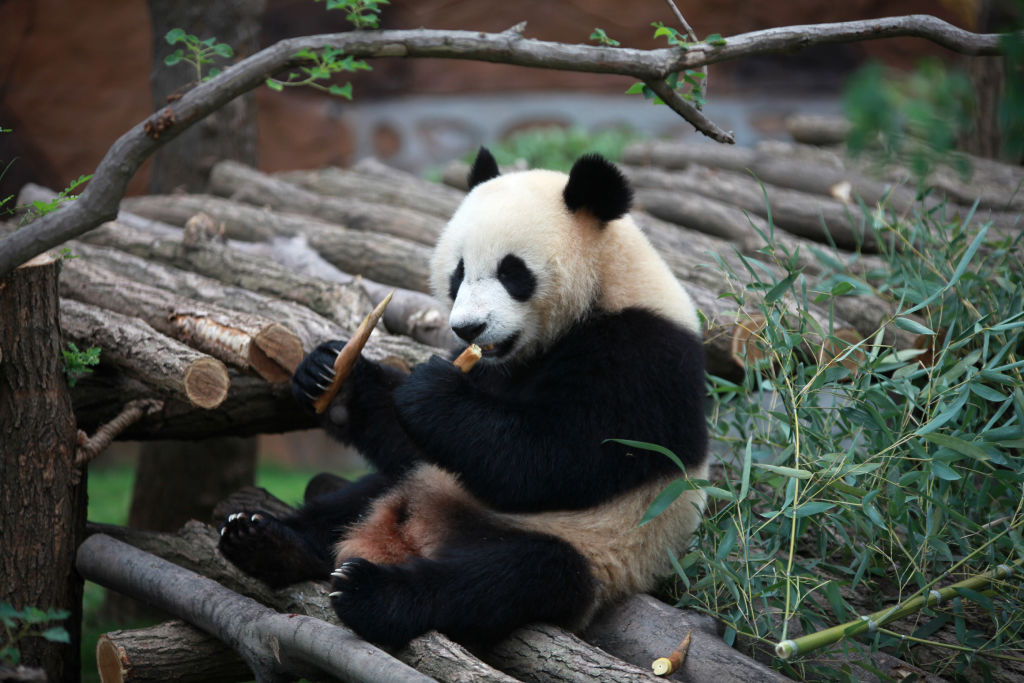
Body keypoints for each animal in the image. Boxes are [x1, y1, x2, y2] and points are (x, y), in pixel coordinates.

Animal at [218, 147, 709, 649]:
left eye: (513, 272)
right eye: (458, 272)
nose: (469, 328)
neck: (605, 285)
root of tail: (412, 535)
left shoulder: (640, 359)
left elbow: (555, 458)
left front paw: (430, 391)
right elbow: (415, 439)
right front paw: (330, 373)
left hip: (586, 547)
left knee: (504, 577)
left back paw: (369, 593)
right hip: (417, 481)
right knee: (361, 495)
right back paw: (266, 543)